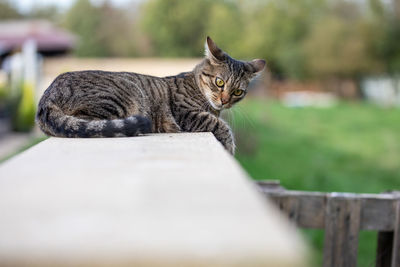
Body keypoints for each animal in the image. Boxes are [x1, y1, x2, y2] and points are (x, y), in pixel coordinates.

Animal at [35, 37, 266, 155]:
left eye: (237, 92)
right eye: (219, 82)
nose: (224, 100)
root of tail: (47, 95)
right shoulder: (187, 114)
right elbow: (222, 126)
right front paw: (229, 147)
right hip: (123, 95)